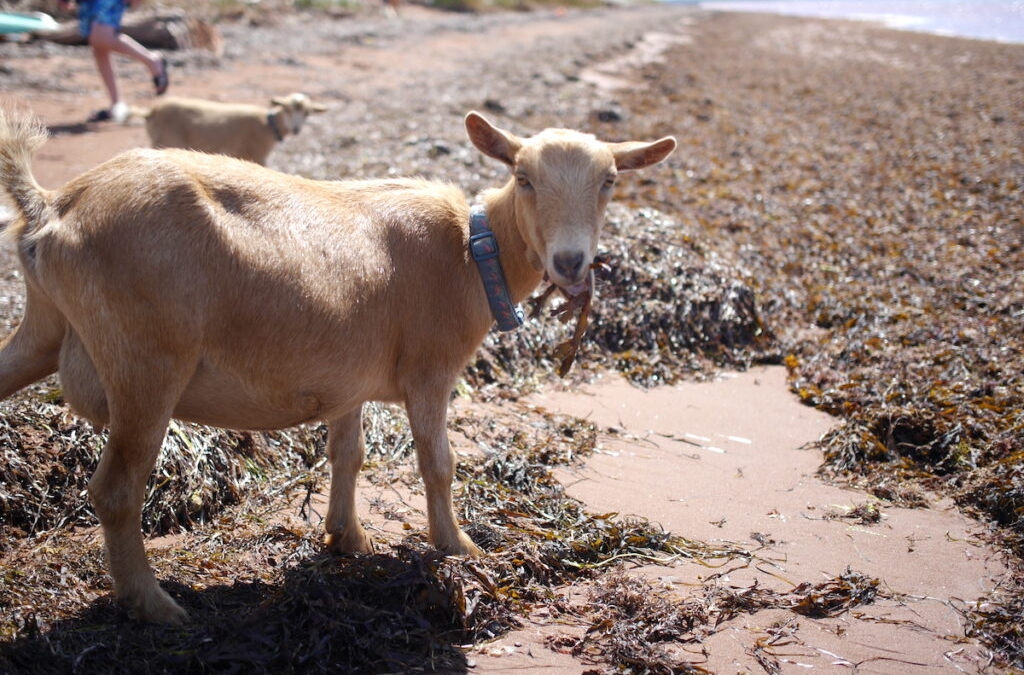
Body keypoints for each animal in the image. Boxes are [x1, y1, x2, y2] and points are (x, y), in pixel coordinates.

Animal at [0, 108, 675, 626]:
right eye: (523, 176)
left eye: (610, 180)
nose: (570, 262)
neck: (471, 251)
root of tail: (55, 206)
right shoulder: (429, 370)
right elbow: (438, 462)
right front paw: (458, 547)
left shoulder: (349, 379)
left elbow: (347, 454)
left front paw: (347, 538)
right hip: (148, 360)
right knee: (117, 488)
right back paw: (155, 605)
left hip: (43, 331)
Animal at [144, 92, 325, 164]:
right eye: (287, 109)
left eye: (307, 113)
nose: (296, 129)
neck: (268, 125)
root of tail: (151, 112)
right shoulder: (255, 155)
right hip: (166, 140)